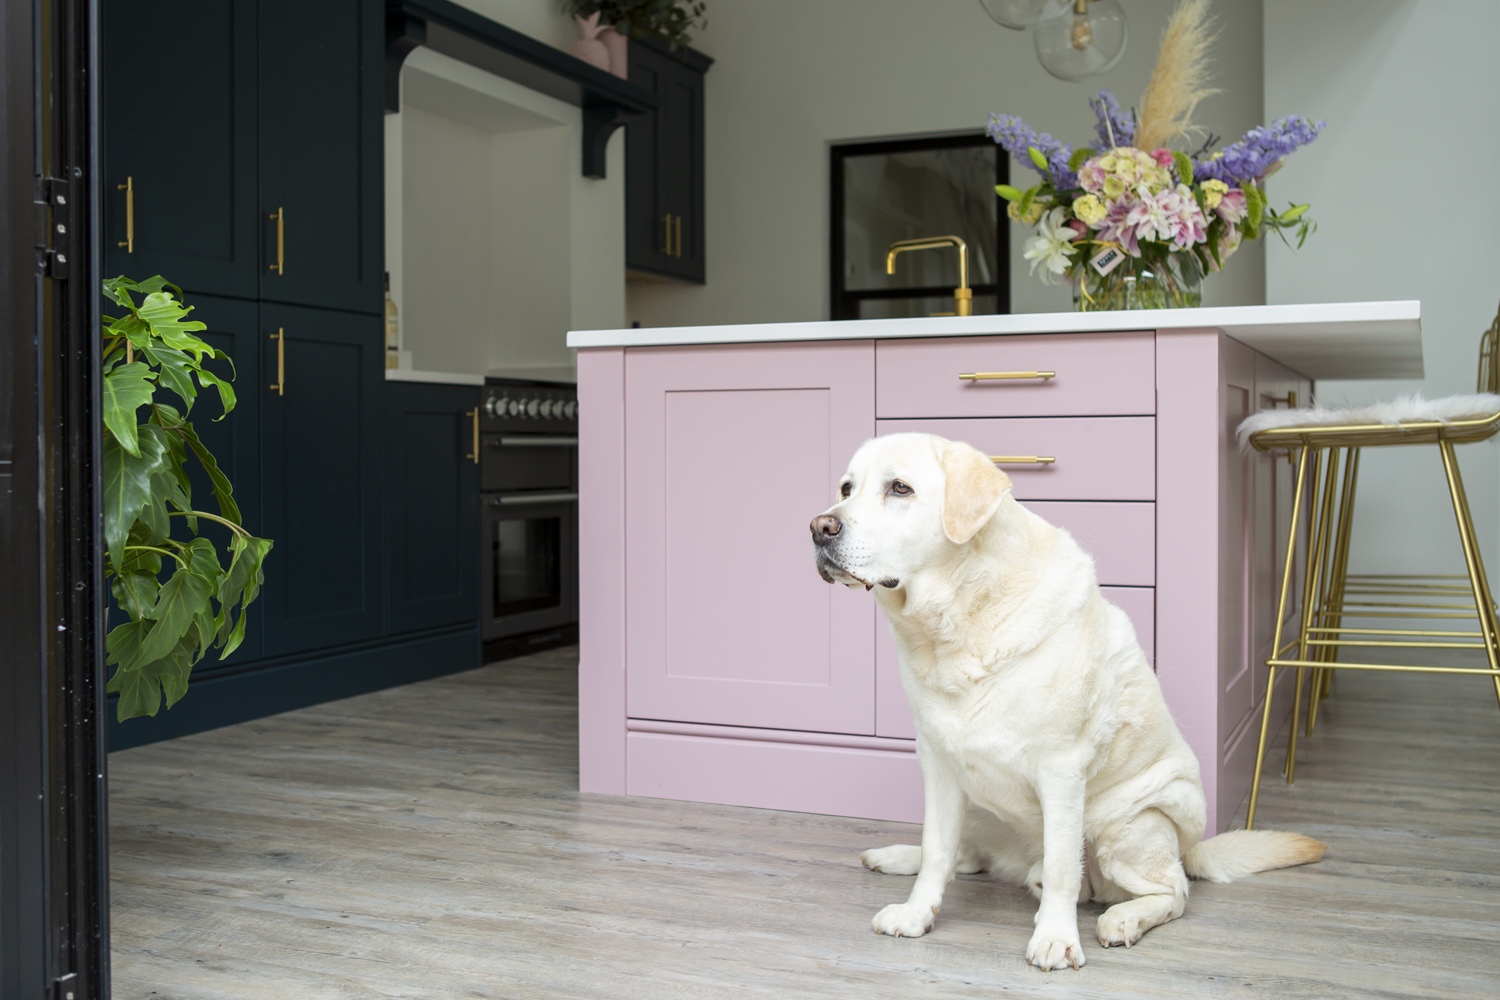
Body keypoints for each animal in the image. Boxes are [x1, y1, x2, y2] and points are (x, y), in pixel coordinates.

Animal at [810, 434, 1326, 971]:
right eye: (846, 488)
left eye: (900, 488)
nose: (820, 527)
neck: (959, 619)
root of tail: (1191, 847)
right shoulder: (938, 761)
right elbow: (937, 851)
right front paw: (916, 914)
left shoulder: (1060, 769)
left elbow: (1062, 867)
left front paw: (1056, 938)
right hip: (980, 803)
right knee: (966, 855)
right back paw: (896, 856)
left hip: (1127, 825)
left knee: (1171, 891)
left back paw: (1123, 918)